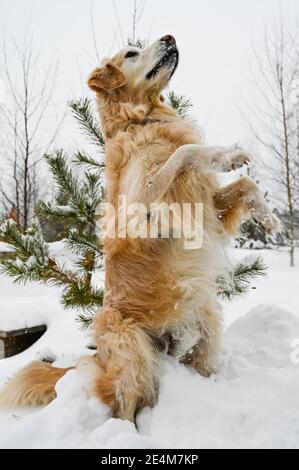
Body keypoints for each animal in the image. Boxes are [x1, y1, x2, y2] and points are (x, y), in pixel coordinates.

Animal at [0, 35, 282, 420]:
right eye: (131, 54)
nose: (170, 37)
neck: (143, 122)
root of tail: (99, 358)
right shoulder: (143, 214)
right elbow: (187, 152)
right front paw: (223, 155)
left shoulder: (206, 205)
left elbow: (245, 184)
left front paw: (269, 220)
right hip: (132, 353)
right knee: (124, 405)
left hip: (208, 329)